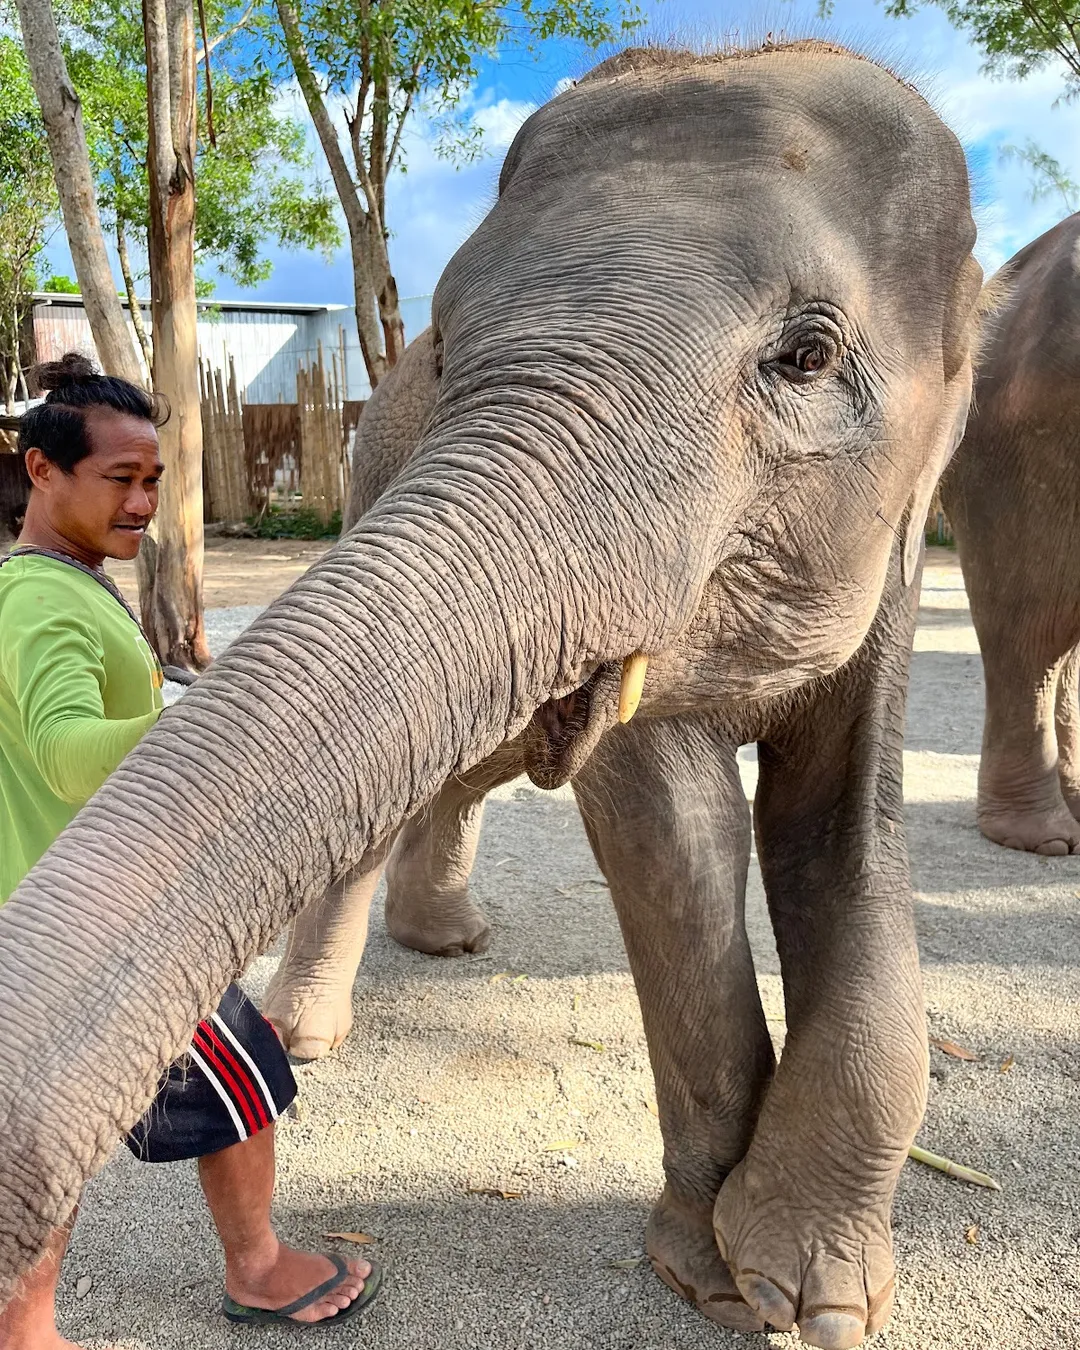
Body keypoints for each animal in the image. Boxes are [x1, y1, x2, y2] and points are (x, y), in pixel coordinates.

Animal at [0, 42, 982, 1350]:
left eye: (808, 356)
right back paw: (315, 1030)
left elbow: (840, 831)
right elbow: (674, 833)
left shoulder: (898, 543)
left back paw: (449, 941)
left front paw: (812, 1296)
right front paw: (712, 1279)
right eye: (448, 348)